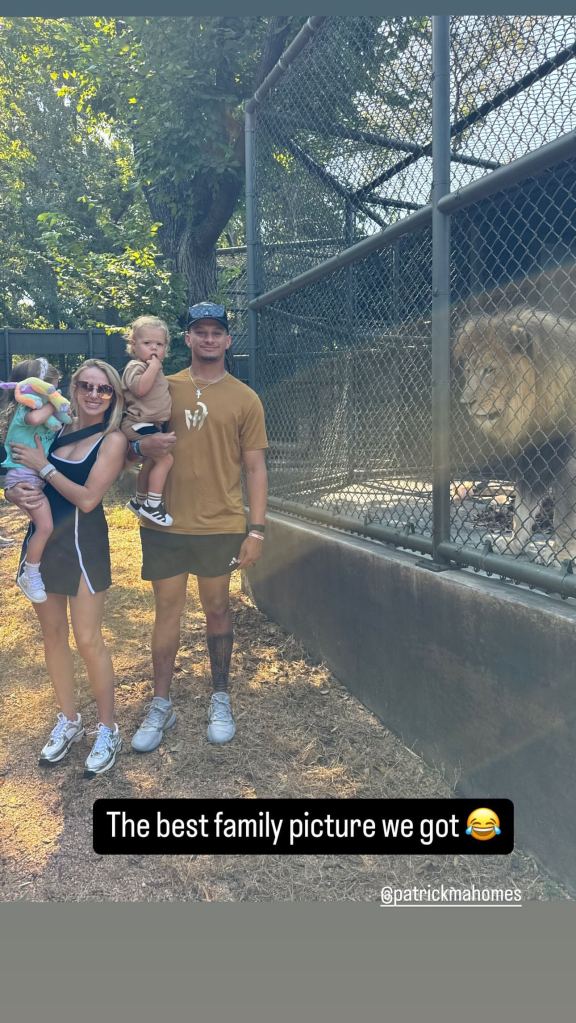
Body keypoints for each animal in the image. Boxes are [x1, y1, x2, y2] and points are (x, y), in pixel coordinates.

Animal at [452, 306, 576, 568]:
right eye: (468, 370)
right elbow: (522, 508)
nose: (466, 402)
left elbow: (565, 516)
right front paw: (513, 544)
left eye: (489, 370)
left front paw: (561, 554)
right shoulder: (536, 456)